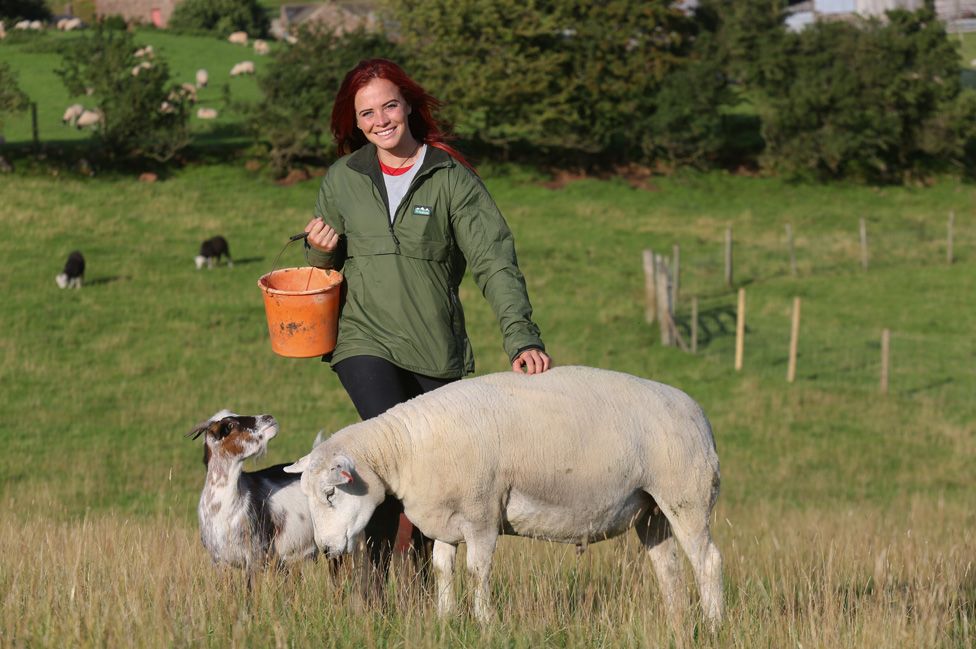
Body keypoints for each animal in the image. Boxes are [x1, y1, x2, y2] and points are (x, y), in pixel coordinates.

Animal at [286, 368, 728, 632]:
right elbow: (443, 568)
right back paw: (676, 624)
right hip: (651, 509)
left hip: (686, 495)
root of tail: (698, 414)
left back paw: (713, 624)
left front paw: (484, 622)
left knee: (707, 561)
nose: (326, 549)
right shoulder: (446, 516)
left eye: (330, 492)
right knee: (669, 568)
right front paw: (446, 619)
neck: (406, 449)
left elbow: (477, 571)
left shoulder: (481, 512)